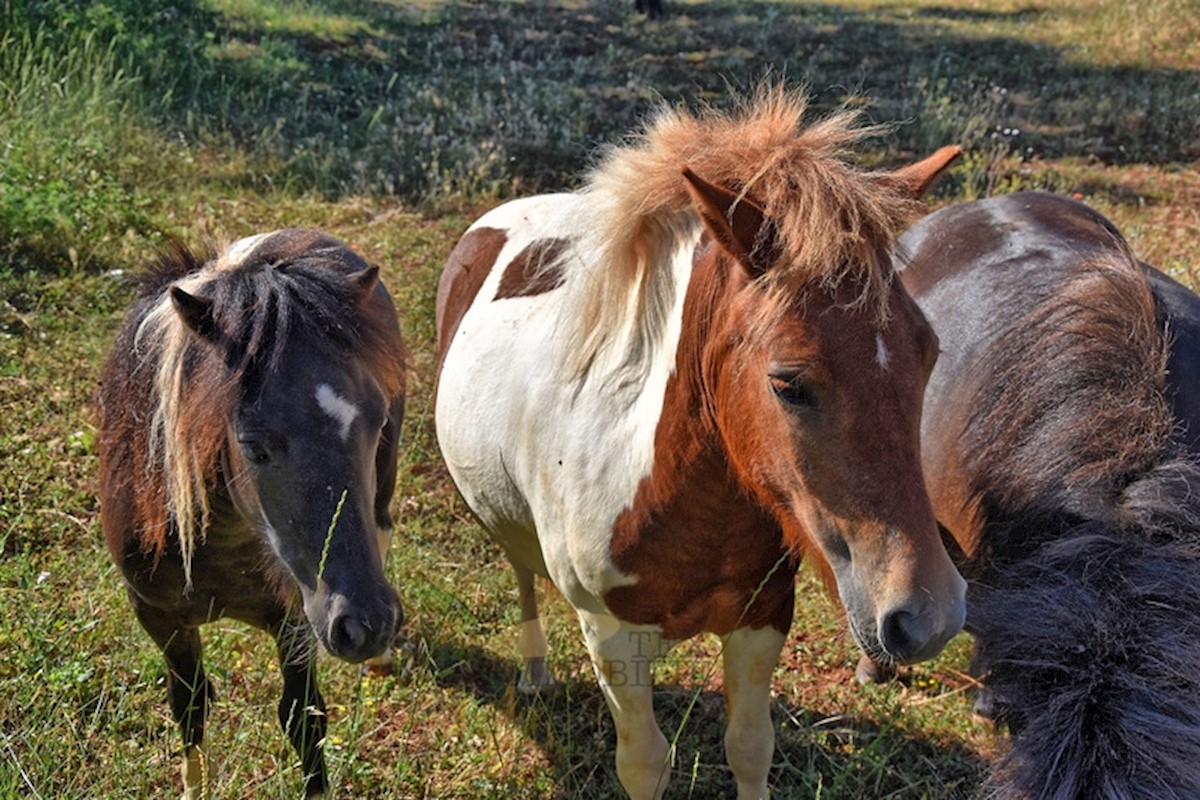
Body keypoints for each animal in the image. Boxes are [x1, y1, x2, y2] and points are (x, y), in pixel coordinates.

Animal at [98, 227, 408, 796]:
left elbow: (304, 718)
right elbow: (190, 707)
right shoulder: (159, 617)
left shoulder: (297, 617)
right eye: (252, 445)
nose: (367, 624)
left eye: (376, 422)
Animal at [432, 89, 964, 800]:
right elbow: (644, 763)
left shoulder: (763, 618)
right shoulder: (612, 641)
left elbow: (750, 747)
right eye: (788, 382)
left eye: (928, 353)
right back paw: (535, 672)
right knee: (520, 570)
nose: (928, 616)